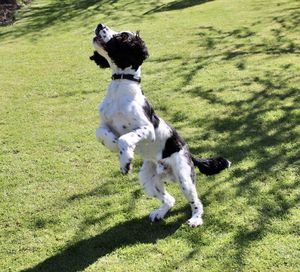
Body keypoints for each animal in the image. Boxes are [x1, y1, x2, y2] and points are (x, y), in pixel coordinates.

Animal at [89, 23, 230, 227]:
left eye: (122, 36)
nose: (100, 25)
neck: (120, 87)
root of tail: (190, 154)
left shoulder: (148, 129)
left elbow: (126, 138)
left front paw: (125, 162)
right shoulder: (105, 123)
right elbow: (101, 133)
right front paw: (115, 146)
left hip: (184, 176)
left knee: (196, 201)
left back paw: (195, 219)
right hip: (147, 179)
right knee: (170, 199)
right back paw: (159, 213)